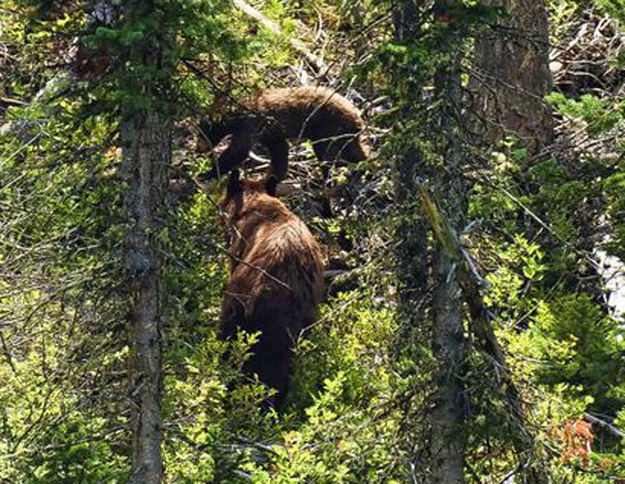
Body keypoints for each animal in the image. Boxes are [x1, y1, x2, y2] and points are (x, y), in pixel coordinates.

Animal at [197, 84, 368, 182]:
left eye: (202, 134)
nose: (198, 149)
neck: (234, 117)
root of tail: (357, 117)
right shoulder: (269, 133)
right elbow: (279, 149)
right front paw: (276, 175)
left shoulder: (250, 125)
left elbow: (238, 150)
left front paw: (207, 173)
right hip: (345, 133)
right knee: (354, 151)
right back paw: (364, 167)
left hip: (330, 125)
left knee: (325, 153)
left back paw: (326, 178)